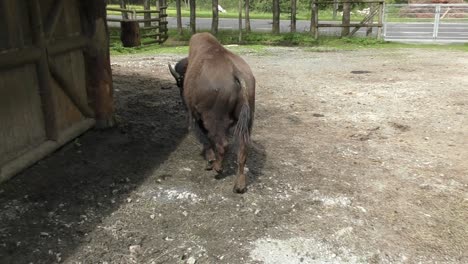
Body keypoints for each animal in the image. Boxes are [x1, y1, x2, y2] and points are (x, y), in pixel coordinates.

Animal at [169, 32, 256, 194]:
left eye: (179, 83)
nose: (182, 98)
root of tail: (235, 72)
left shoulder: (195, 117)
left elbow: (204, 137)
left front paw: (209, 160)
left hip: (213, 119)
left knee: (222, 144)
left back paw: (217, 168)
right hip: (248, 120)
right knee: (243, 149)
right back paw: (239, 185)